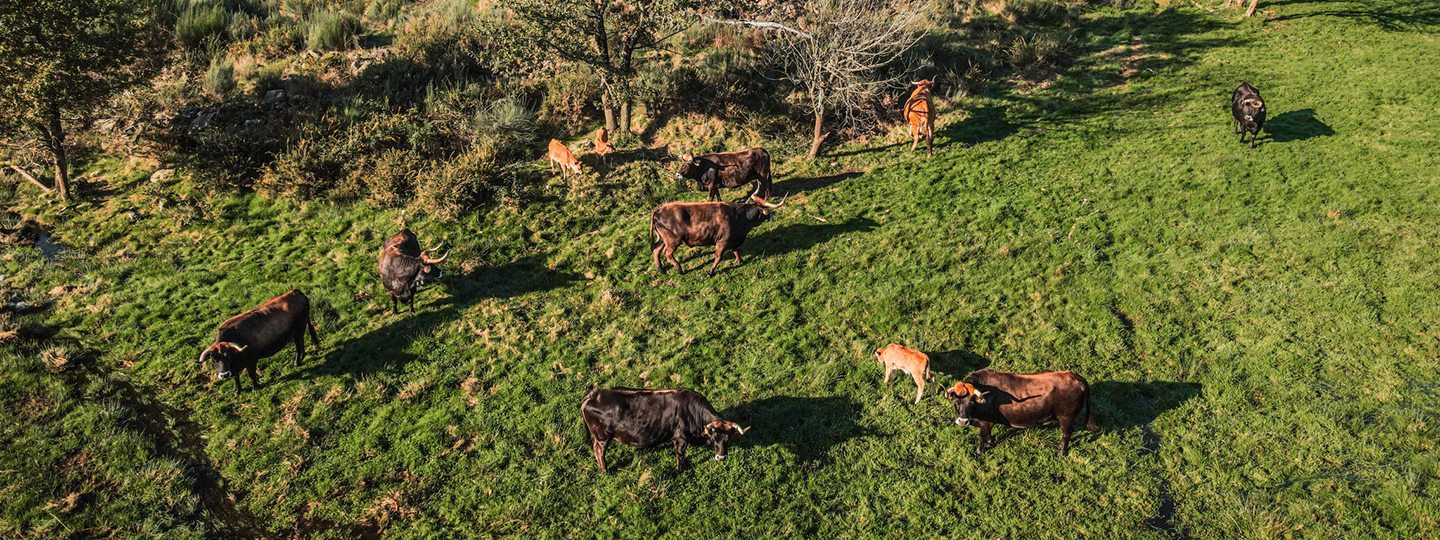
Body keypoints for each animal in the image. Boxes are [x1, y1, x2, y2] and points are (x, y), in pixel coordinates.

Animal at [580, 387, 750, 473]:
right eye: (714, 439)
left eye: (728, 439)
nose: (721, 458)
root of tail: (592, 395)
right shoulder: (681, 438)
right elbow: (680, 455)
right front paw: (680, 470)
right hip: (602, 437)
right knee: (598, 451)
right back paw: (605, 470)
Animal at [649, 184, 787, 277]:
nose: (770, 216)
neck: (740, 216)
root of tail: (660, 208)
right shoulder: (722, 241)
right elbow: (719, 257)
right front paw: (710, 272)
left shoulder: (733, 239)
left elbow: (736, 250)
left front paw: (740, 261)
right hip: (672, 240)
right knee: (667, 253)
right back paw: (679, 269)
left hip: (662, 238)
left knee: (656, 249)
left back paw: (660, 269)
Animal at [943, 369, 1096, 457]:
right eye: (956, 402)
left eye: (971, 402)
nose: (963, 421)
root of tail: (1077, 377)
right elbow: (988, 436)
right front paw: (991, 443)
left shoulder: (986, 422)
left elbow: (982, 437)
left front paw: (978, 452)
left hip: (1066, 417)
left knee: (1066, 434)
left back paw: (1061, 453)